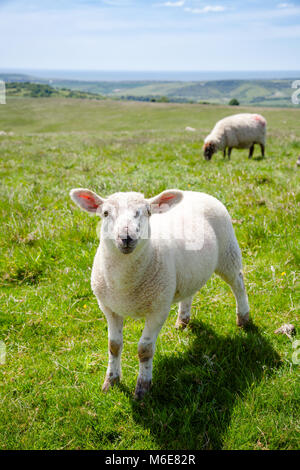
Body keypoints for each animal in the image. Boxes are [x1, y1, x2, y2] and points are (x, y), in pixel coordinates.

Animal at [69, 185, 250, 398]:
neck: (124, 284)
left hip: (228, 252)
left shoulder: (158, 309)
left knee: (238, 283)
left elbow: (145, 349)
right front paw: (111, 381)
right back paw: (183, 320)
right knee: (189, 292)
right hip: (187, 272)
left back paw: (244, 318)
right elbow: (114, 345)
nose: (127, 237)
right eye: (105, 213)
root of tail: (196, 192)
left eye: (147, 212)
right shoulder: (109, 308)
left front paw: (143, 388)